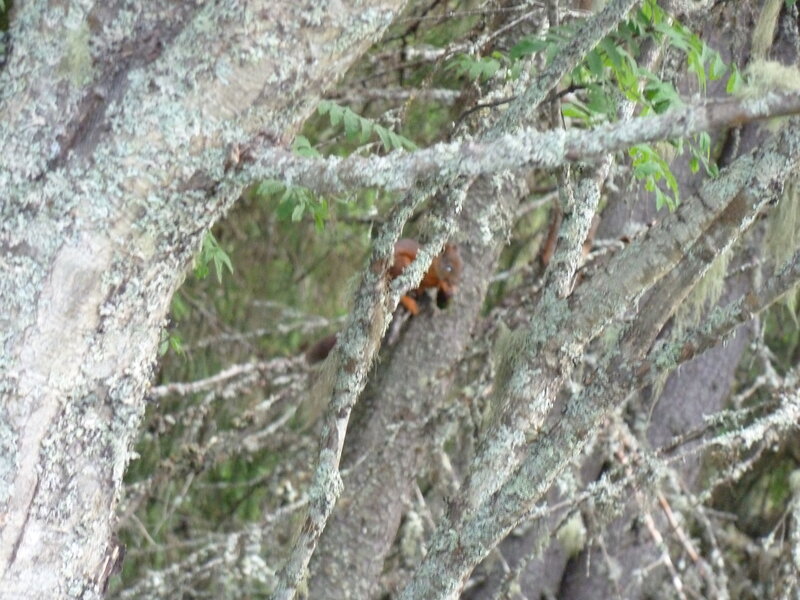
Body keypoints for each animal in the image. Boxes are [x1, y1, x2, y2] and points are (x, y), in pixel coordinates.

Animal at [304, 238, 462, 364]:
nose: (457, 281)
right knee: (396, 291)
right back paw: (411, 302)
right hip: (400, 266)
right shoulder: (425, 271)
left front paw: (450, 289)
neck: (434, 267)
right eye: (448, 267)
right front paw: (447, 286)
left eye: (461, 265)